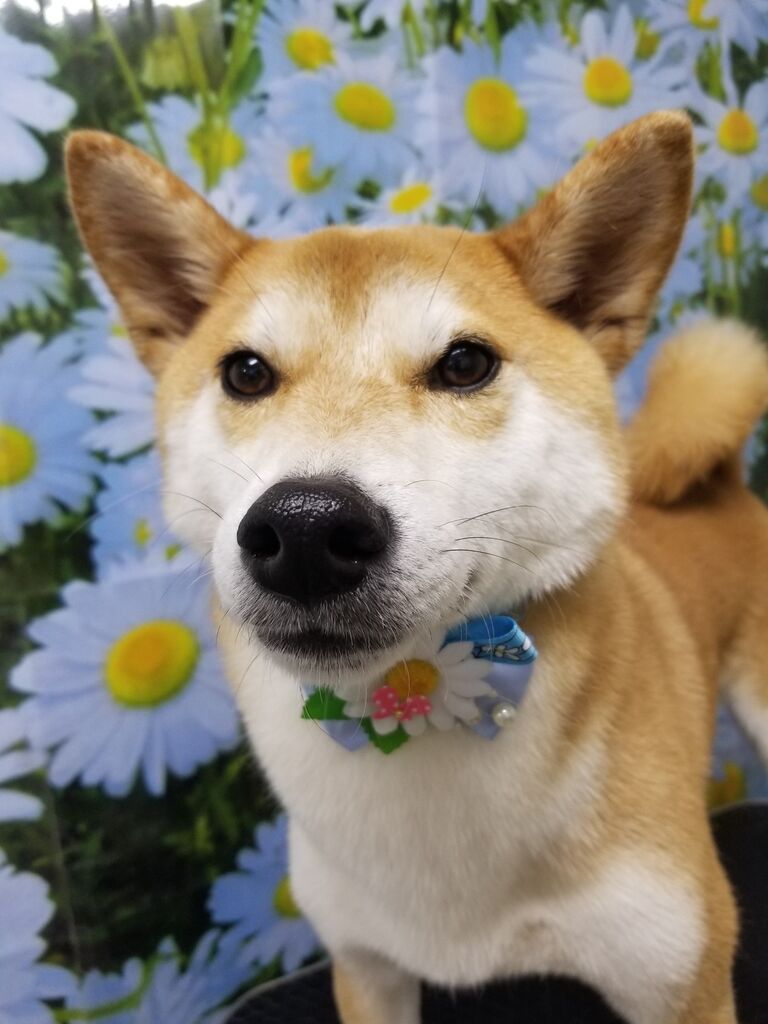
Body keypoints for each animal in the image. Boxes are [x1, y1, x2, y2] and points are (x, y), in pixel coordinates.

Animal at [66, 111, 768, 1024]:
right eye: (246, 372)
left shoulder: (682, 984)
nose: (304, 529)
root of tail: (723, 478)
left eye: (465, 364)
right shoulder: (368, 968)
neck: (418, 713)